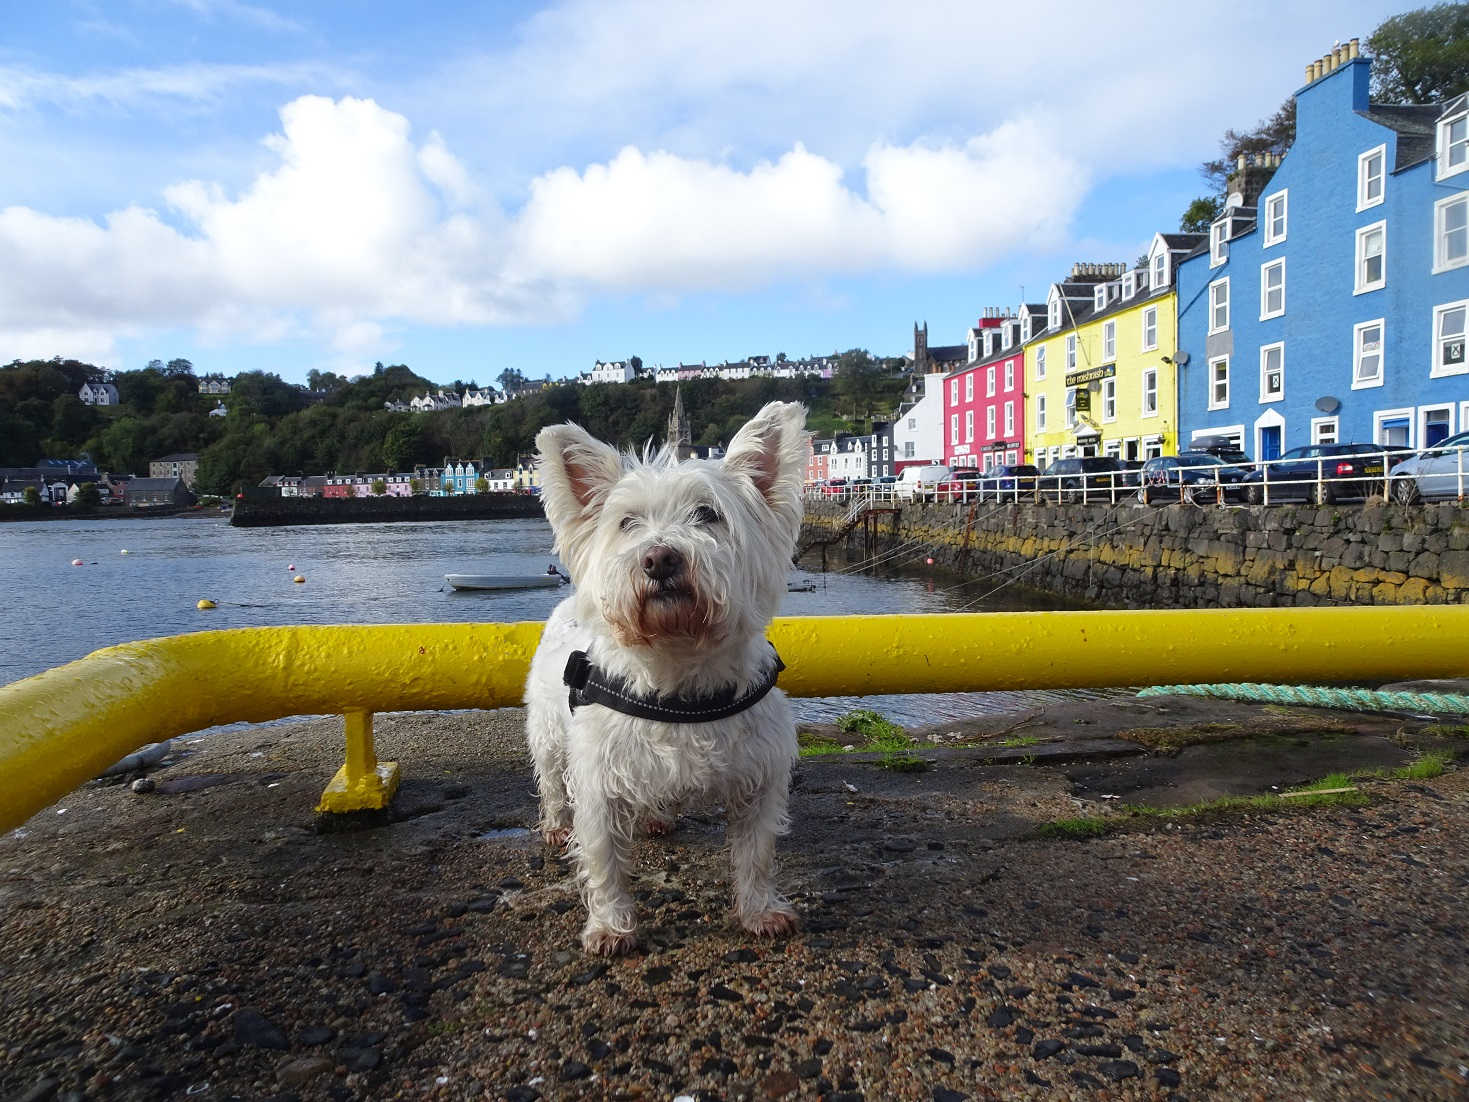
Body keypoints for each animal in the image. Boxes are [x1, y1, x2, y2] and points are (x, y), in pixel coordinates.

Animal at [525, 402, 810, 952]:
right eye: (627, 523)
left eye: (708, 514)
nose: (659, 558)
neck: (678, 674)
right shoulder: (598, 783)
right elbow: (604, 860)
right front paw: (611, 926)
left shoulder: (760, 778)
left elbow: (756, 853)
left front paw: (760, 911)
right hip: (548, 733)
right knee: (549, 778)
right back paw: (554, 824)